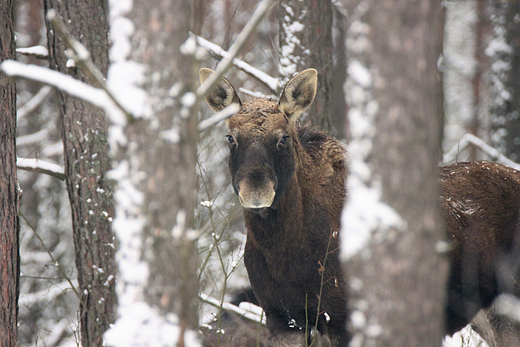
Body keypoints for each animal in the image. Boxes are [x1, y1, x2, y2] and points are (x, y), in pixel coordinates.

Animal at [199, 66, 520, 346]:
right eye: (231, 137)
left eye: (283, 138)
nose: (256, 190)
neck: (282, 250)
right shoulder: (283, 319)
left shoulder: (344, 320)